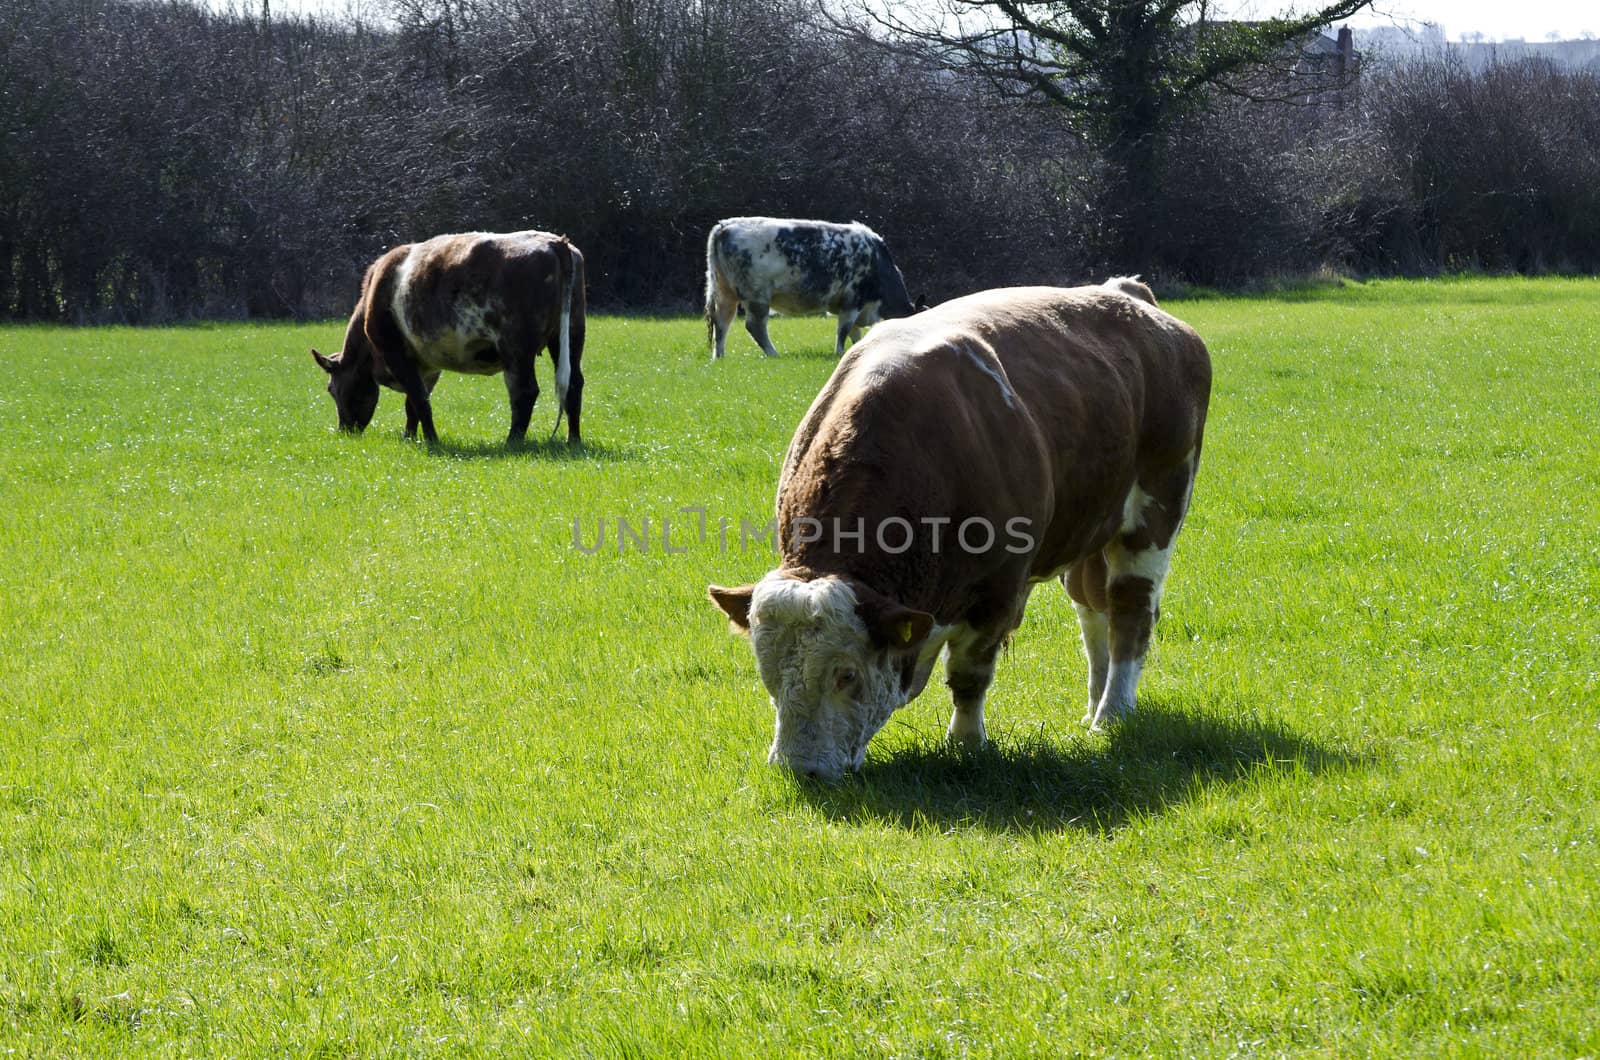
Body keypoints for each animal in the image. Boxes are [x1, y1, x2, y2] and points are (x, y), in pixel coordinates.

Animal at [312, 230, 588, 445]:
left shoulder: (395, 352)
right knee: (574, 383)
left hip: (515, 348)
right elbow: (413, 404)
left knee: (524, 391)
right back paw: (572, 439)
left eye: (331, 389)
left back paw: (512, 441)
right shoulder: (427, 364)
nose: (345, 430)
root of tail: (554, 242)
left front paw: (431, 441)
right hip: (571, 334)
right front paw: (410, 437)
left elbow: (419, 399)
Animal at [704, 217, 928, 363]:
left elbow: (855, 333)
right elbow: (844, 330)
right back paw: (774, 354)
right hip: (757, 296)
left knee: (722, 323)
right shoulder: (852, 300)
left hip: (725, 293)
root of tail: (725, 225)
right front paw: (839, 354)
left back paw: (720, 357)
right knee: (754, 326)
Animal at [707, 280, 1203, 781]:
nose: (799, 769)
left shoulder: (997, 593)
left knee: (1129, 609)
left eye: (846, 674)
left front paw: (966, 742)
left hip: (1157, 510)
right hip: (1086, 529)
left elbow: (969, 674)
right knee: (1091, 608)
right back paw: (1094, 705)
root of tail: (1126, 292)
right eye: (767, 672)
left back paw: (1112, 713)